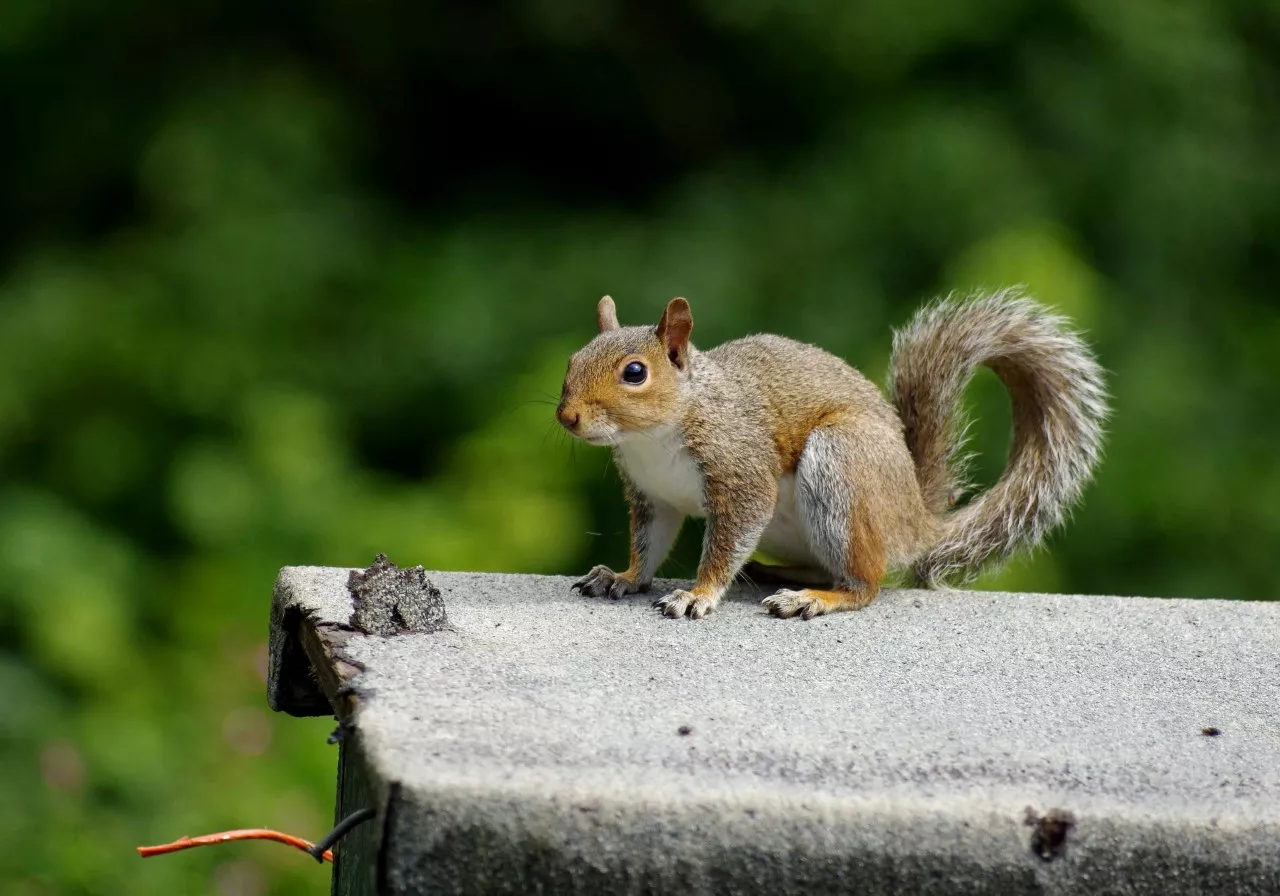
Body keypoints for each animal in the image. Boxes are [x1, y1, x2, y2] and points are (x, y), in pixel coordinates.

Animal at [555, 290, 1105, 619]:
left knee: (866, 582)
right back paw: (775, 573)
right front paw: (623, 577)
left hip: (841, 462)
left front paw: (698, 593)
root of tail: (915, 517)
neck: (651, 437)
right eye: (572, 361)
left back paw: (815, 599)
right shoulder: (654, 496)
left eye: (635, 373)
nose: (567, 417)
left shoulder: (741, 468)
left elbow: (728, 539)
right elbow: (649, 544)